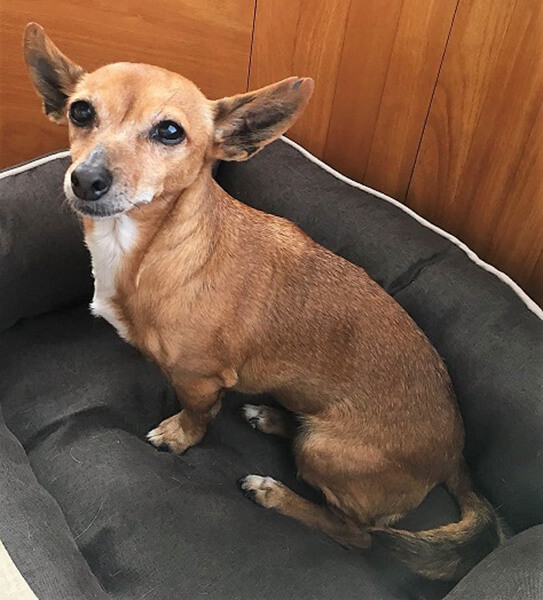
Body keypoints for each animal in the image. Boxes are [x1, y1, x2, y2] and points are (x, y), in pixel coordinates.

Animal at [23, 22, 502, 581]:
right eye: (80, 112)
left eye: (170, 132)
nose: (86, 179)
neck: (152, 247)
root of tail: (455, 455)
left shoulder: (198, 379)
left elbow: (197, 416)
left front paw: (179, 436)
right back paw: (275, 419)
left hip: (327, 452)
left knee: (356, 533)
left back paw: (275, 494)